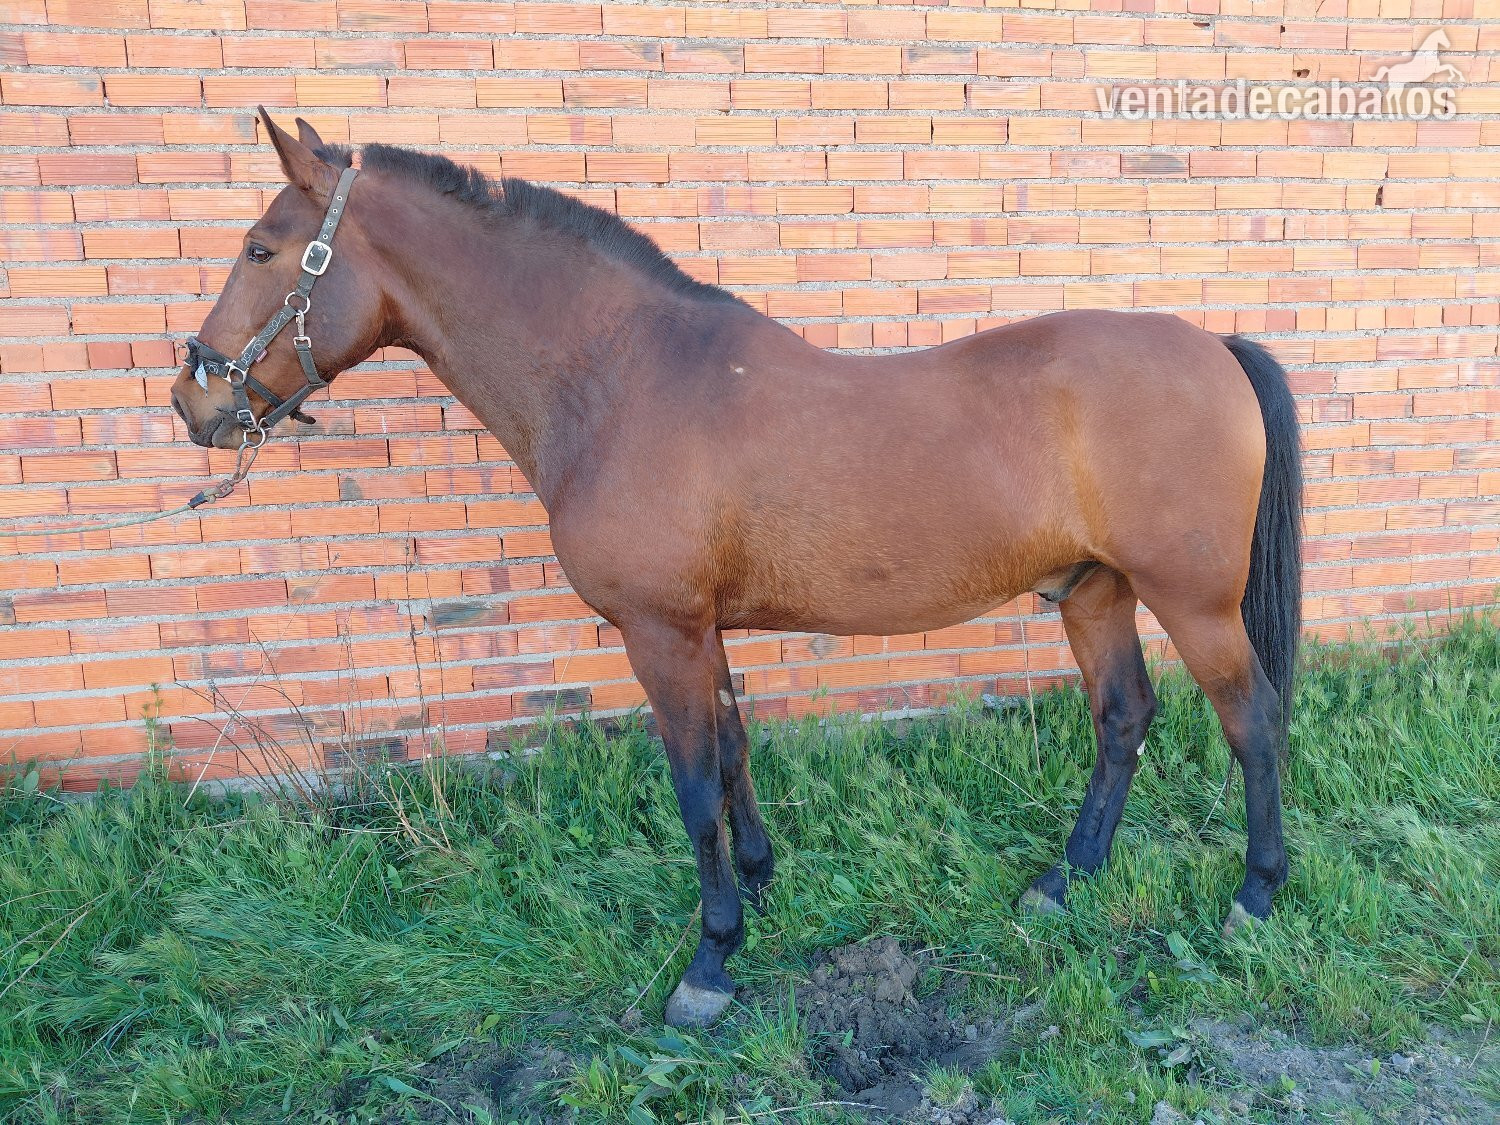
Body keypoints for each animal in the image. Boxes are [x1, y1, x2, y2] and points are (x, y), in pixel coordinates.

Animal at [171, 111, 1303, 1028]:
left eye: (262, 247)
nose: (194, 400)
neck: (624, 378)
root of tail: (1213, 344)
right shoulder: (700, 628)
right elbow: (733, 751)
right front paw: (759, 888)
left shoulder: (659, 632)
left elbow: (692, 784)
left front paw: (709, 963)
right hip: (1092, 591)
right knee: (1123, 716)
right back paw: (1063, 882)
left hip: (1195, 601)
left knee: (1251, 717)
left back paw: (1253, 897)